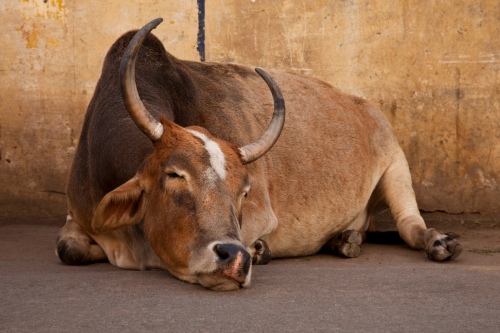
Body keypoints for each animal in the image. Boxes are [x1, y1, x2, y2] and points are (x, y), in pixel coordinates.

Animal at [56, 18, 462, 290]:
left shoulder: (261, 213)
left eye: (245, 191)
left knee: (410, 226)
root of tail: (360, 103)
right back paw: (343, 240)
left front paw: (260, 250)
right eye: (174, 175)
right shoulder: (78, 214)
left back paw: (439, 242)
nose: (235, 258)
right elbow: (67, 249)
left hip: (396, 161)